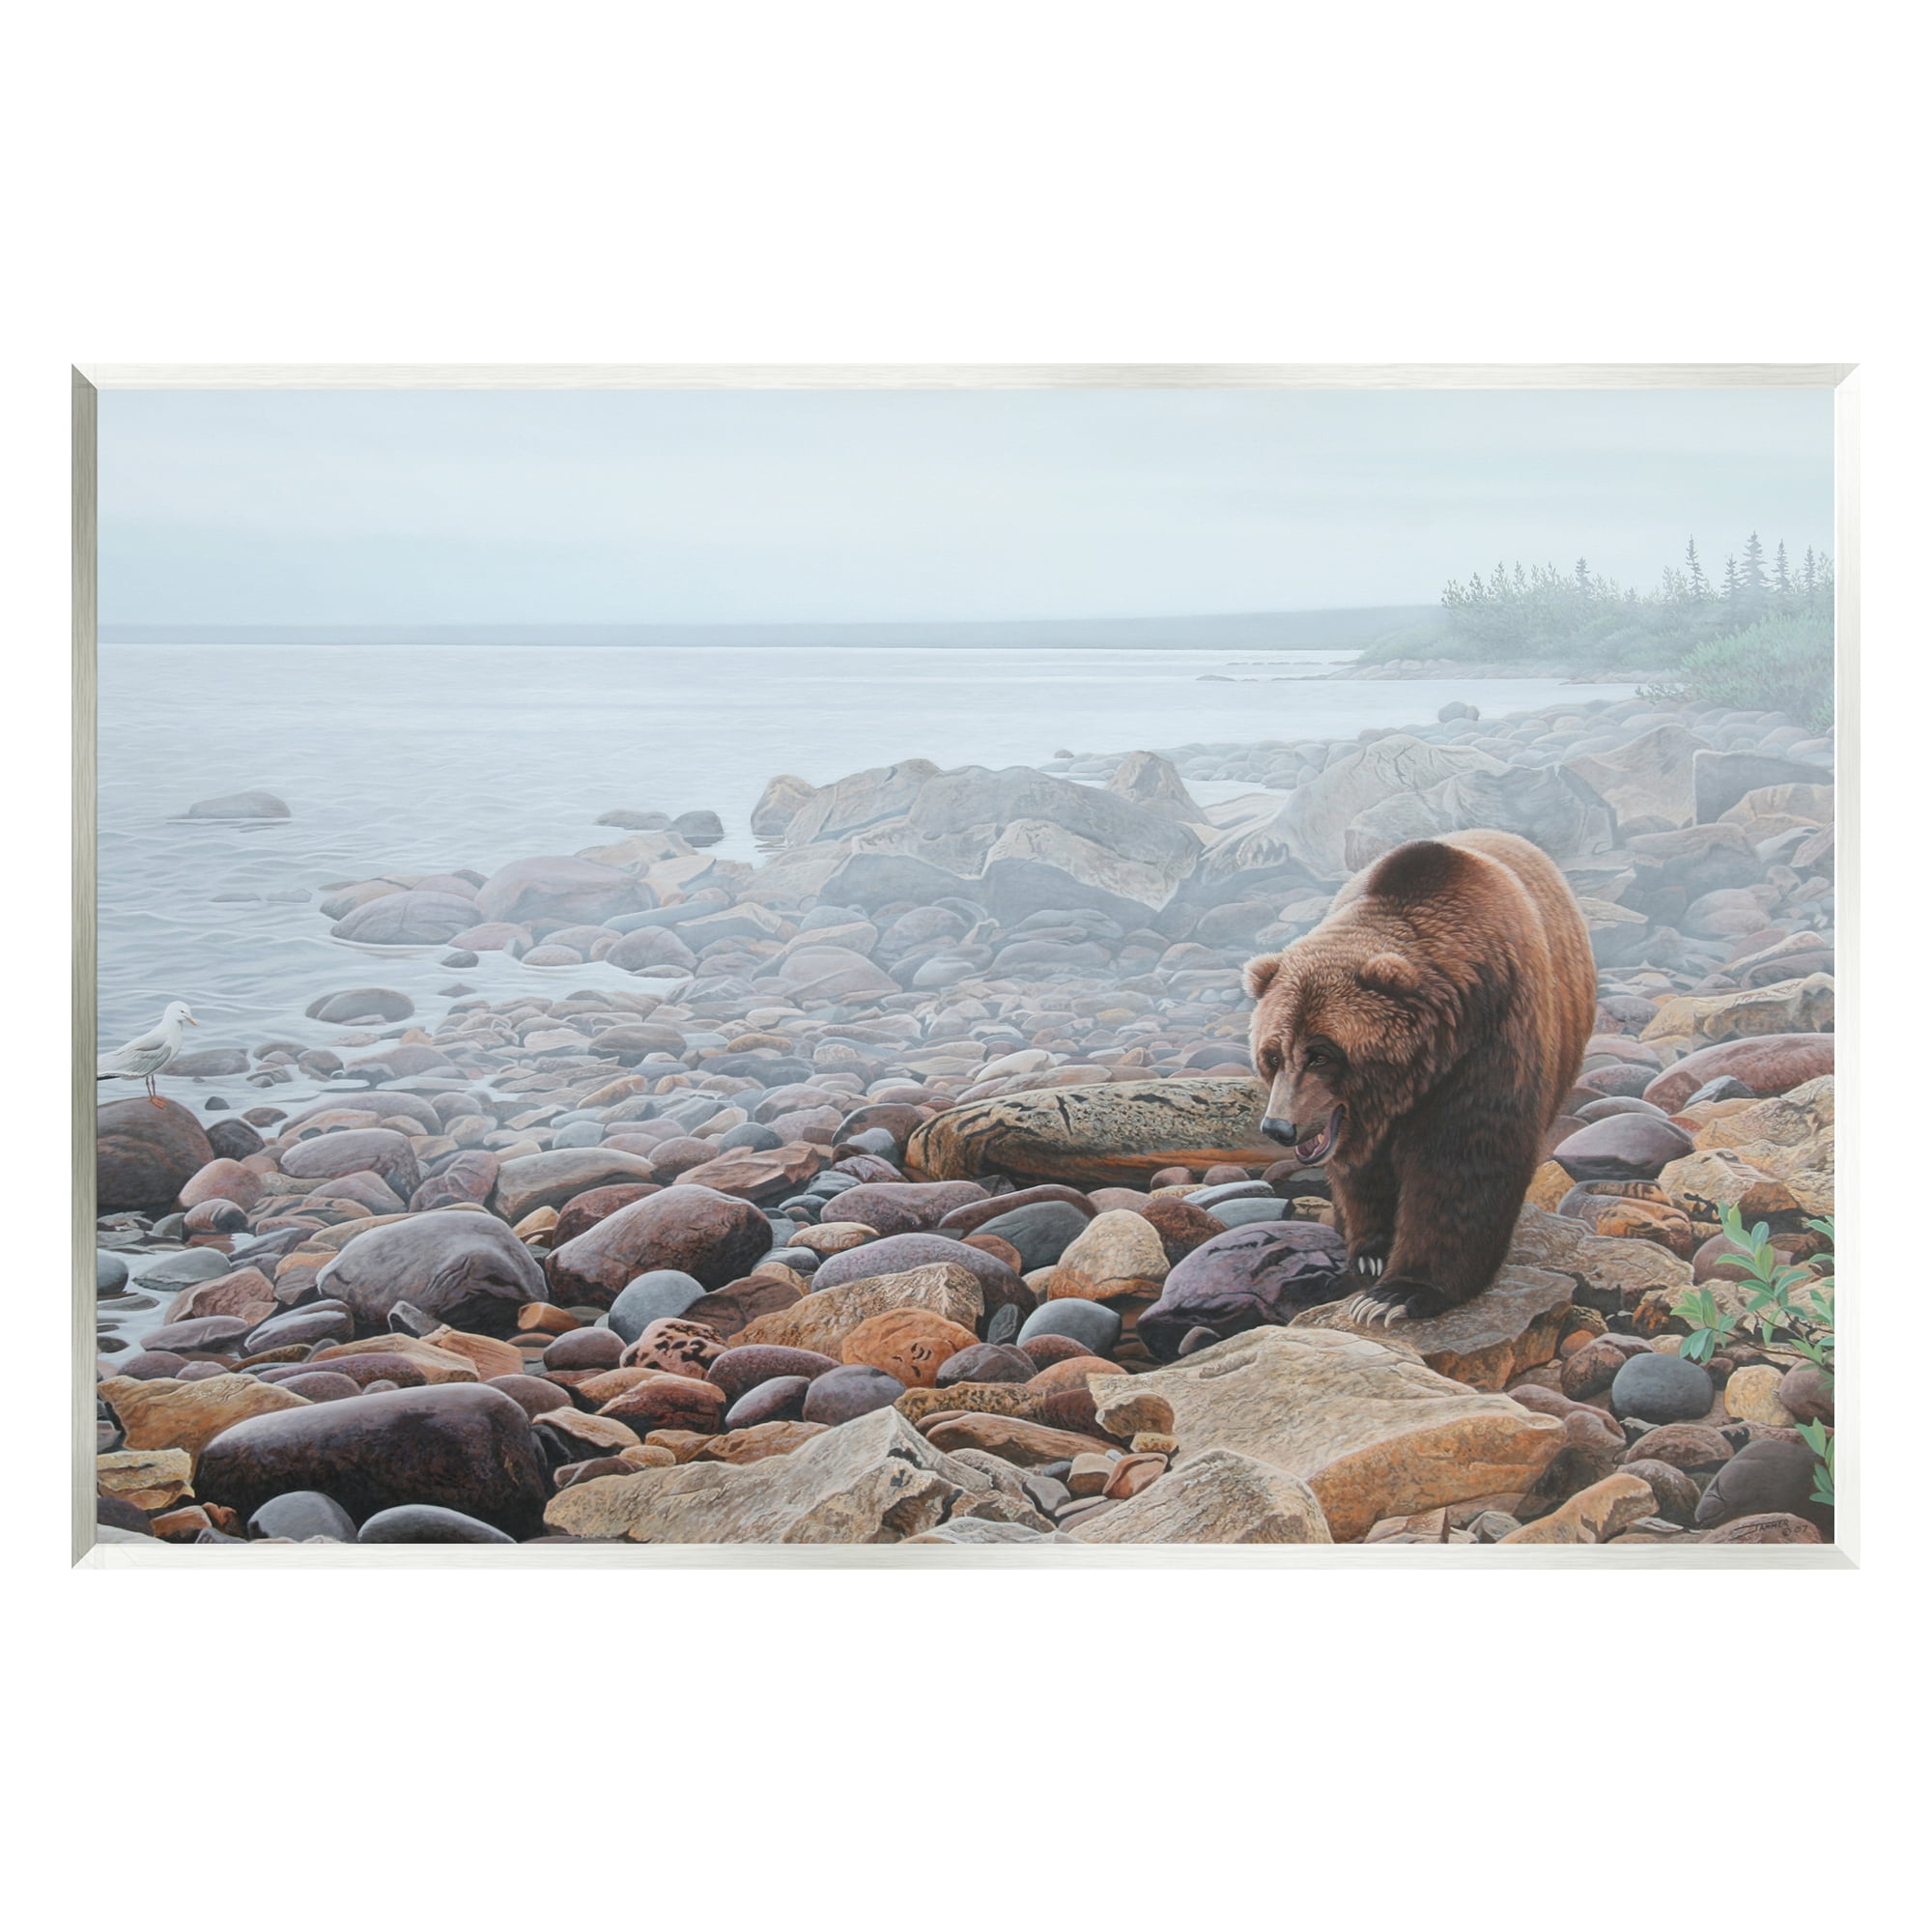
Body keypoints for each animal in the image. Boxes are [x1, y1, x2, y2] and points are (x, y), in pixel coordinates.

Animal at [1243, 829, 1595, 1327]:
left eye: (1321, 1055)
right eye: (1272, 1055)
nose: (1278, 1127)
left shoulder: (1492, 1040)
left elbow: (1464, 1162)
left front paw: (1399, 1294)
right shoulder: (1360, 1122)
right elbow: (1361, 1174)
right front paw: (1371, 1252)